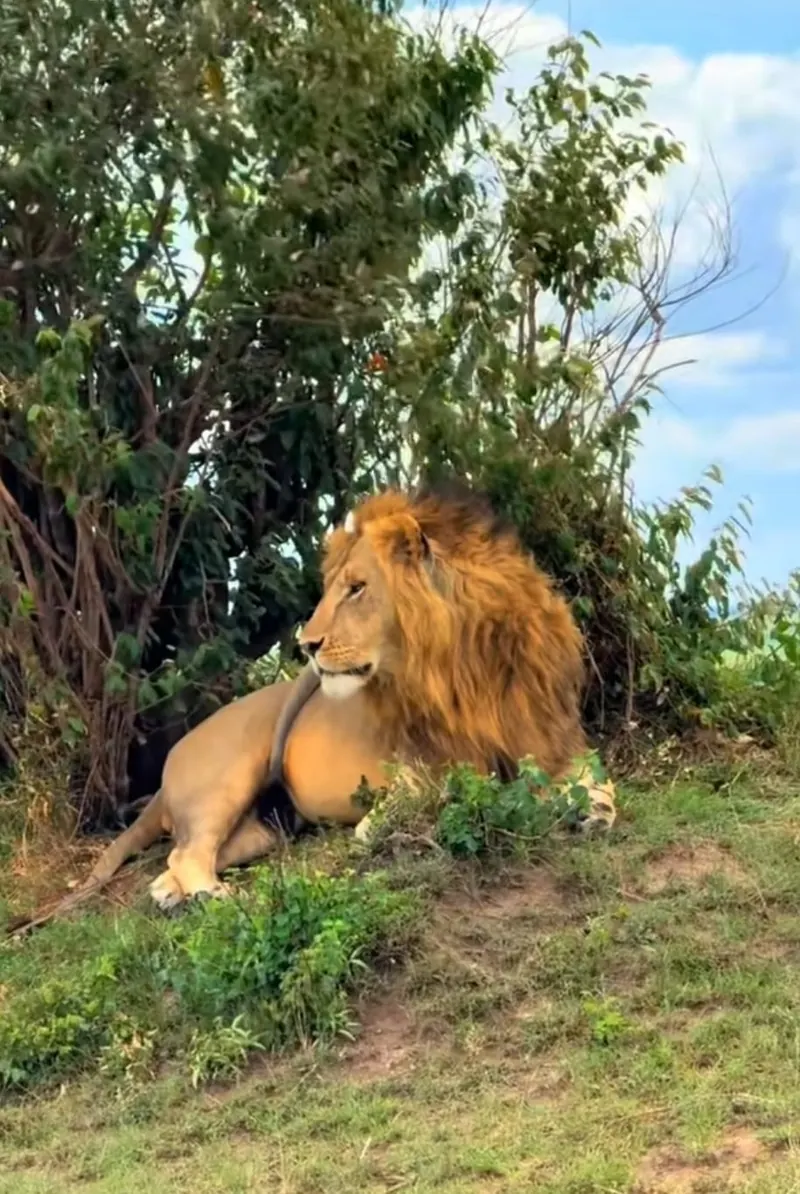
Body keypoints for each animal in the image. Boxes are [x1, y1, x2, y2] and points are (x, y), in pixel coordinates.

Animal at [86, 481, 617, 911]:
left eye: (357, 588)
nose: (307, 644)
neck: (467, 664)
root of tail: (171, 761)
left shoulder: (554, 739)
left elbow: (601, 783)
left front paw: (594, 810)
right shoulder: (422, 768)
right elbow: (431, 798)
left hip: (268, 824)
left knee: (180, 860)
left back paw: (169, 894)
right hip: (226, 780)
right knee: (188, 853)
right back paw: (212, 897)